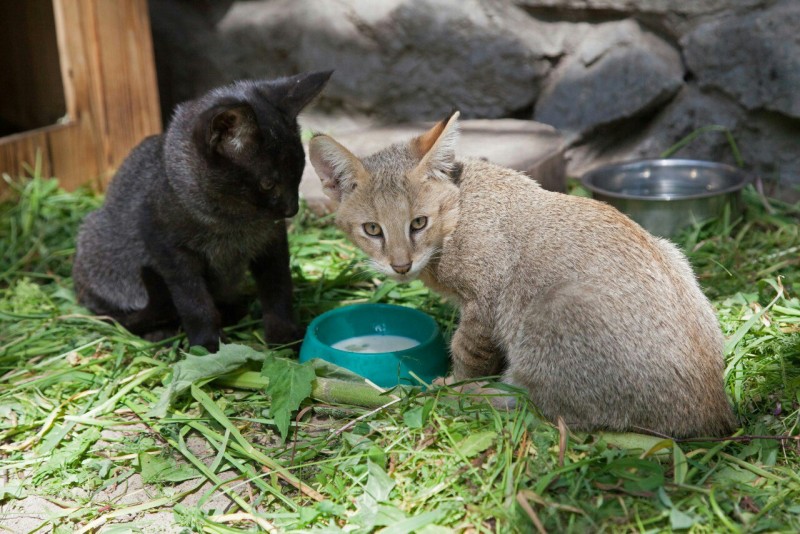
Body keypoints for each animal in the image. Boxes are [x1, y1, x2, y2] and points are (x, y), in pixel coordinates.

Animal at [73, 72, 332, 356]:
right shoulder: (169, 250)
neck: (233, 223)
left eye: (299, 174)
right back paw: (160, 332)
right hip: (95, 243)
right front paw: (208, 346)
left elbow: (278, 289)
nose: (292, 208)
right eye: (268, 184)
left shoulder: (272, 242)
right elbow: (195, 304)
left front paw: (285, 337)